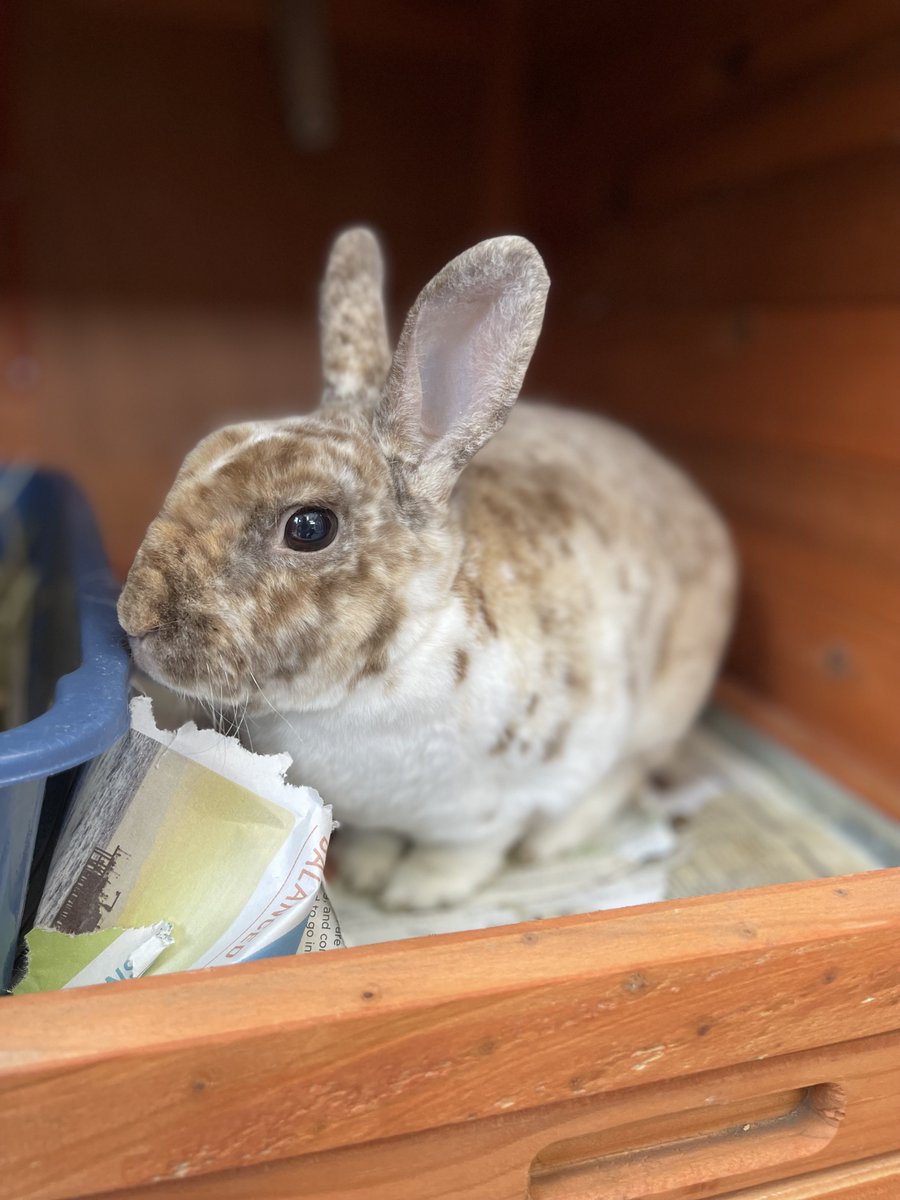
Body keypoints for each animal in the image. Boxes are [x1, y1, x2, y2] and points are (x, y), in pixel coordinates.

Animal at [118, 228, 737, 910]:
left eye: (309, 527)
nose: (133, 618)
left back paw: (549, 844)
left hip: (655, 713)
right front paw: (368, 872)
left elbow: (467, 851)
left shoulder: (497, 805)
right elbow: (379, 838)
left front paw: (415, 894)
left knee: (619, 779)